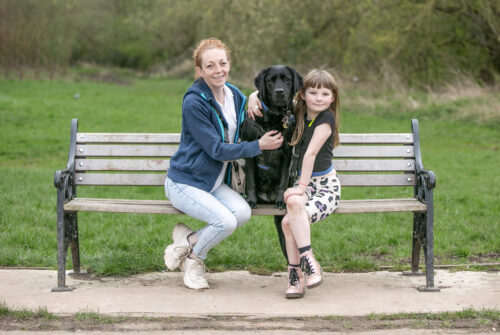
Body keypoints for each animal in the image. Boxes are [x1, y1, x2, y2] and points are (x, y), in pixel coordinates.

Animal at [240, 65, 302, 260]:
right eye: (270, 81)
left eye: (287, 79)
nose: (280, 91)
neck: (274, 117)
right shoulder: (250, 149)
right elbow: (251, 182)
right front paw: (251, 201)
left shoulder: (287, 153)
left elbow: (282, 180)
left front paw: (281, 201)